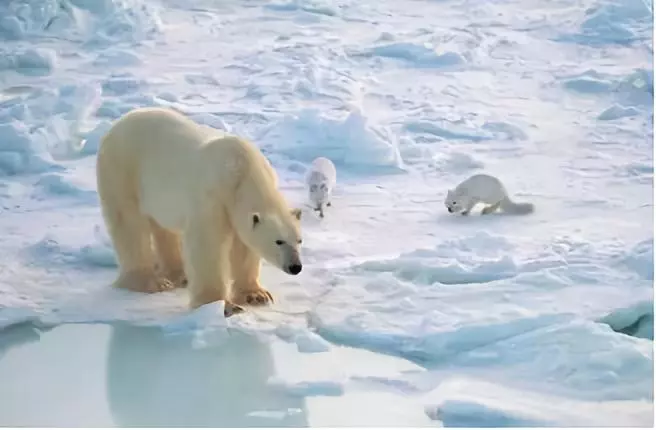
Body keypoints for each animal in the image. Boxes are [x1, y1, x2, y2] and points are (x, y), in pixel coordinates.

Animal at [95, 107, 304, 316]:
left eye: (299, 240)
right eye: (279, 241)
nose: (296, 267)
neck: (241, 171)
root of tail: (119, 123)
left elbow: (245, 247)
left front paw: (256, 296)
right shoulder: (212, 196)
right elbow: (207, 244)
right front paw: (222, 305)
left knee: (163, 228)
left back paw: (180, 275)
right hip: (122, 170)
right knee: (129, 224)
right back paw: (151, 282)